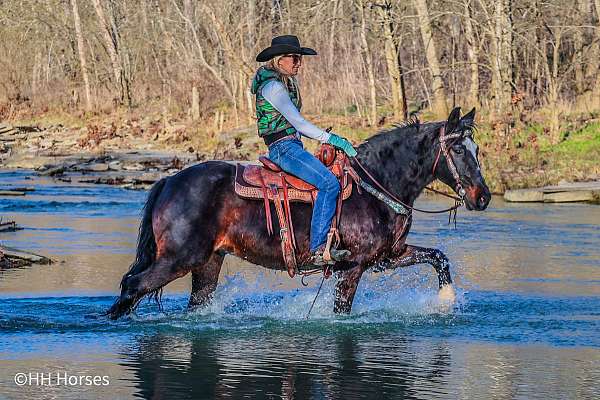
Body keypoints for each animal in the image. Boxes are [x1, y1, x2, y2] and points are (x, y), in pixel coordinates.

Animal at [108, 106, 492, 318]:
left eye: (476, 148)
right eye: (458, 149)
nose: (483, 197)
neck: (377, 184)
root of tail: (169, 181)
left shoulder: (387, 257)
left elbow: (438, 257)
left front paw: (446, 299)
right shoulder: (353, 266)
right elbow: (342, 311)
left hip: (207, 263)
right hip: (178, 258)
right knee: (132, 285)